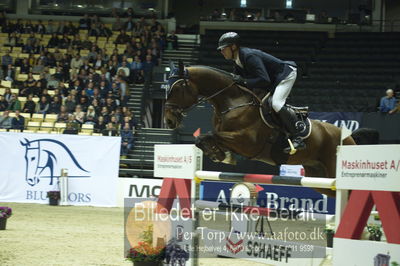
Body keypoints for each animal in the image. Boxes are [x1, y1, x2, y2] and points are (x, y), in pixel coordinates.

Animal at [163, 61, 378, 196]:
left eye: (176, 88)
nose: (169, 121)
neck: (231, 102)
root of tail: (348, 137)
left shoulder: (247, 142)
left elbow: (211, 135)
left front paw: (220, 155)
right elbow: (203, 139)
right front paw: (220, 154)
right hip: (319, 178)